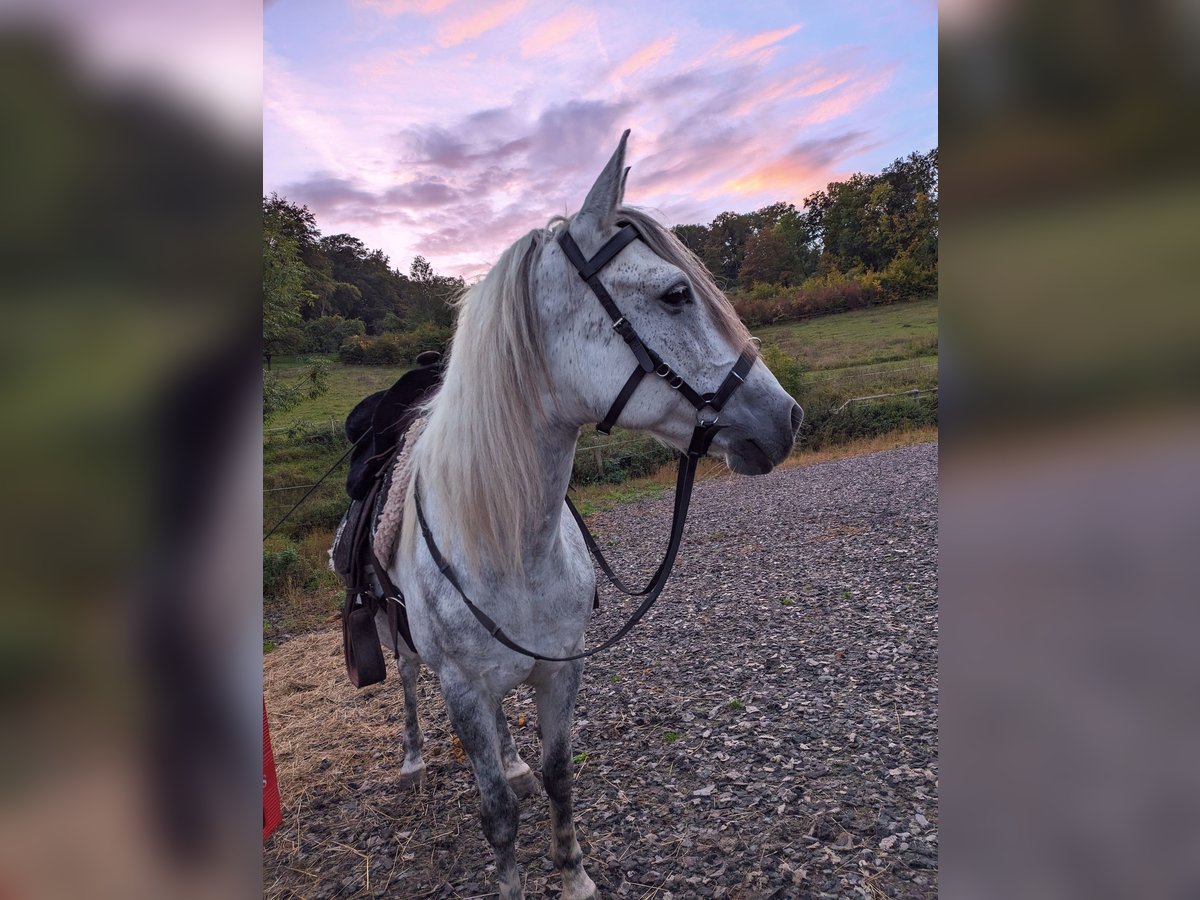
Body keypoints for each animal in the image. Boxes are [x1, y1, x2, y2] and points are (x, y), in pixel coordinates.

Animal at [379, 132, 801, 900]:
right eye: (675, 293)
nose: (787, 418)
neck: (512, 546)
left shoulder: (559, 671)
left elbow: (557, 776)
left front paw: (573, 874)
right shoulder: (461, 687)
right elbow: (496, 814)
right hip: (412, 655)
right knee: (407, 685)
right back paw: (413, 760)